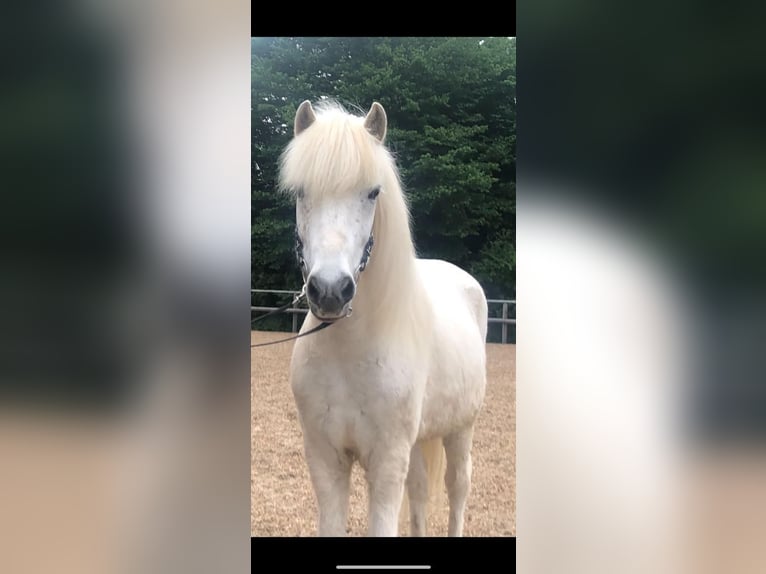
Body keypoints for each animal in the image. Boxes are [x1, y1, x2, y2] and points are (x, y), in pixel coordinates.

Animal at [279, 99, 488, 537]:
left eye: (372, 192)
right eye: (302, 191)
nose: (330, 290)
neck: (349, 353)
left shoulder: (387, 463)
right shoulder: (325, 460)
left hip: (461, 430)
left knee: (458, 487)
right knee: (422, 493)